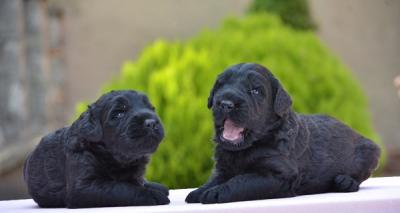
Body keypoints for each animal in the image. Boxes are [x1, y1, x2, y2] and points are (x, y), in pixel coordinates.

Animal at [23, 90, 170, 208]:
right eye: (119, 114)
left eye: (151, 108)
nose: (151, 122)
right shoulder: (82, 187)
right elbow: (120, 187)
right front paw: (151, 194)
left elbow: (136, 181)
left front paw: (151, 186)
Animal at [186, 63, 380, 205]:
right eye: (220, 86)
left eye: (255, 90)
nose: (225, 103)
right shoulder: (223, 167)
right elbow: (215, 179)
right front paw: (199, 191)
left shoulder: (278, 175)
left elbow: (240, 181)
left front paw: (214, 193)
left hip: (370, 151)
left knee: (361, 175)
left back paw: (346, 182)